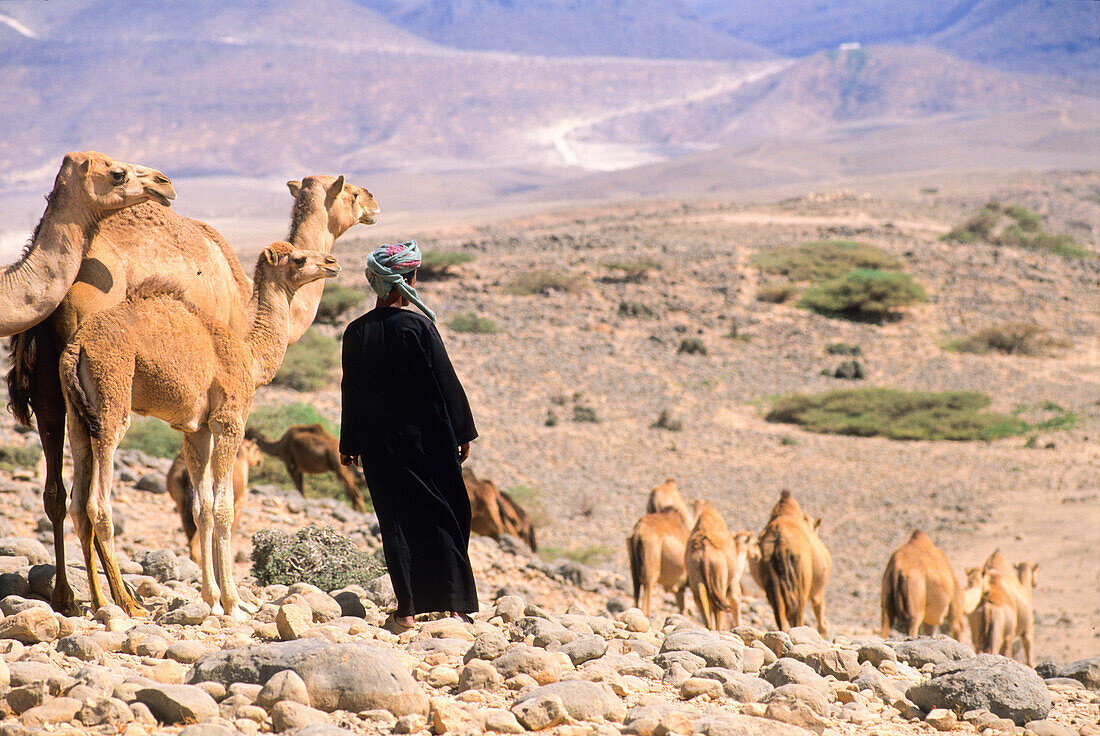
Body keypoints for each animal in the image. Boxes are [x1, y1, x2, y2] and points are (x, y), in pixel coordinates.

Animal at [56, 244, 334, 616]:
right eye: (299, 259)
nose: (331, 263)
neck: (250, 357)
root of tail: (77, 347)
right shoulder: (229, 420)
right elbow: (223, 510)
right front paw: (233, 603)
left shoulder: (196, 429)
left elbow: (202, 509)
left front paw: (211, 599)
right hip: (111, 400)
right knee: (98, 504)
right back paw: (130, 605)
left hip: (76, 416)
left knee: (77, 503)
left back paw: (100, 602)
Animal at [756, 488, 831, 633]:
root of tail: (781, 541)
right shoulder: (818, 590)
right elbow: (821, 619)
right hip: (802, 583)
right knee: (798, 615)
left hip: (770, 577)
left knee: (780, 613)